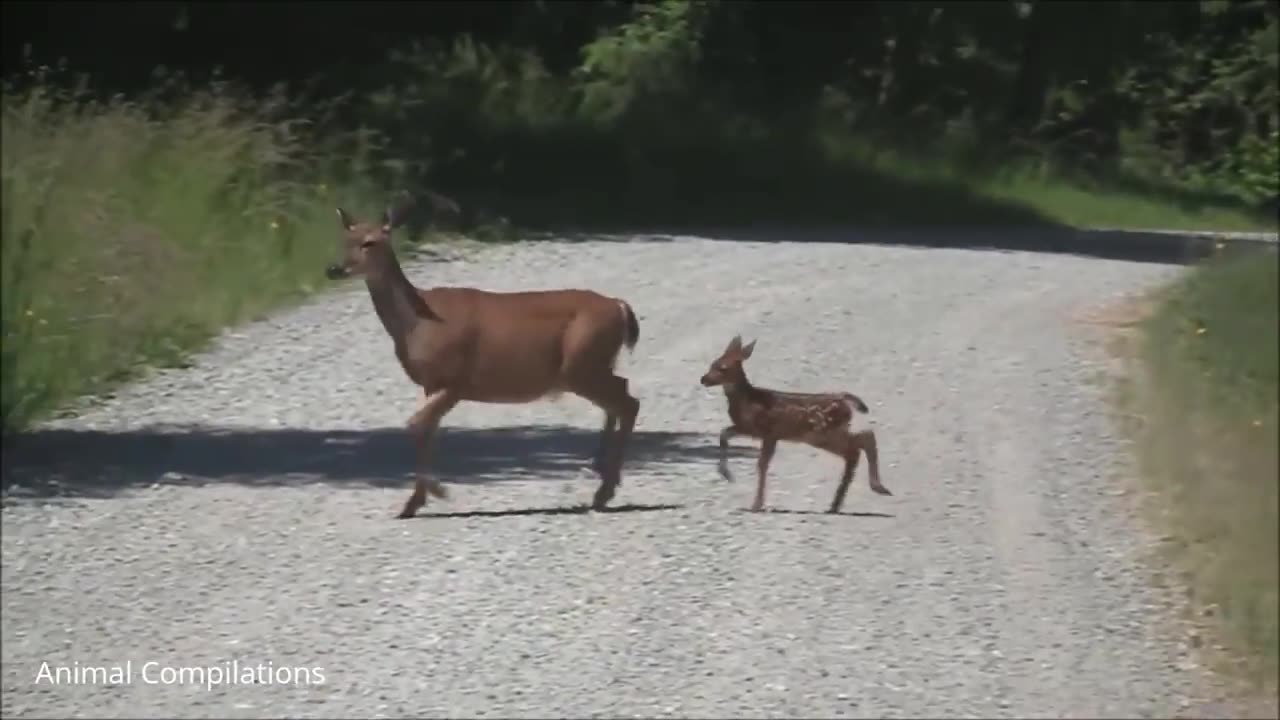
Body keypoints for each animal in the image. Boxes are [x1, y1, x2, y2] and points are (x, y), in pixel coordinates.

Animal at [320, 190, 640, 515]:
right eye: (344, 240)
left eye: (369, 242)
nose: (334, 269)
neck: (416, 324)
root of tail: (619, 306)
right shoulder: (431, 383)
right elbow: (428, 429)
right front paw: (415, 501)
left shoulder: (455, 379)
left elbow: (416, 424)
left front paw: (434, 493)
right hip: (591, 365)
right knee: (620, 395)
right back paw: (600, 470)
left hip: (581, 365)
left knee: (629, 402)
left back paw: (603, 490)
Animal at [701, 335, 890, 509]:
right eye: (712, 363)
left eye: (722, 368)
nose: (703, 379)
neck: (747, 400)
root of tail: (844, 400)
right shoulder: (747, 428)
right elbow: (724, 434)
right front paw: (726, 474)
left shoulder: (768, 432)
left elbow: (762, 464)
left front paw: (757, 504)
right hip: (826, 434)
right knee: (856, 448)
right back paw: (837, 504)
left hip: (824, 433)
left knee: (863, 439)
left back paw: (875, 488)